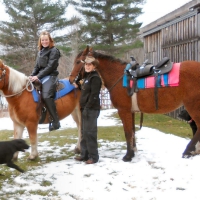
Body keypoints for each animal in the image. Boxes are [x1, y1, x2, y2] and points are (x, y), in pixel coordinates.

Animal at [69, 45, 200, 161]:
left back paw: (188, 150)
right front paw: (133, 151)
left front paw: (128, 156)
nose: (71, 80)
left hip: (193, 106)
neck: (119, 76)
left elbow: (127, 133)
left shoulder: (124, 111)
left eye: (77, 62)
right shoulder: (131, 112)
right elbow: (132, 132)